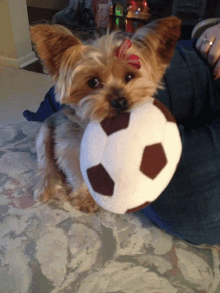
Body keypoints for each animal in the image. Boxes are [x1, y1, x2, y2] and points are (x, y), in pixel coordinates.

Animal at [31, 16, 181, 212]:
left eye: (130, 76)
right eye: (93, 82)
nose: (120, 102)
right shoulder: (70, 148)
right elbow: (77, 172)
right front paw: (86, 198)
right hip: (45, 132)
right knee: (45, 163)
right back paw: (46, 186)